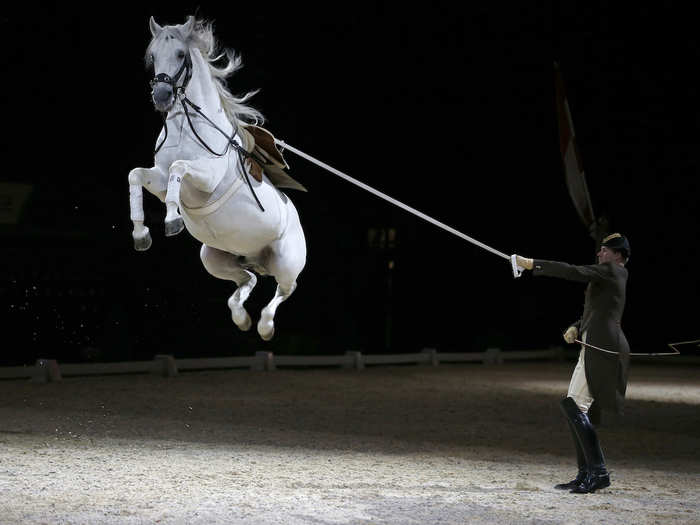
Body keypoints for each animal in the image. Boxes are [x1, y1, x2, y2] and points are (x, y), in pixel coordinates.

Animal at [128, 16, 306, 340]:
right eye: (153, 56)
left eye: (180, 54)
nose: (162, 96)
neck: (186, 128)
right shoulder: (158, 180)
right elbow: (136, 175)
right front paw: (141, 234)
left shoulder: (206, 178)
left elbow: (179, 168)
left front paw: (172, 221)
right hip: (214, 259)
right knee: (248, 280)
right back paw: (241, 318)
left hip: (286, 262)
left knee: (285, 289)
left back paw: (264, 326)